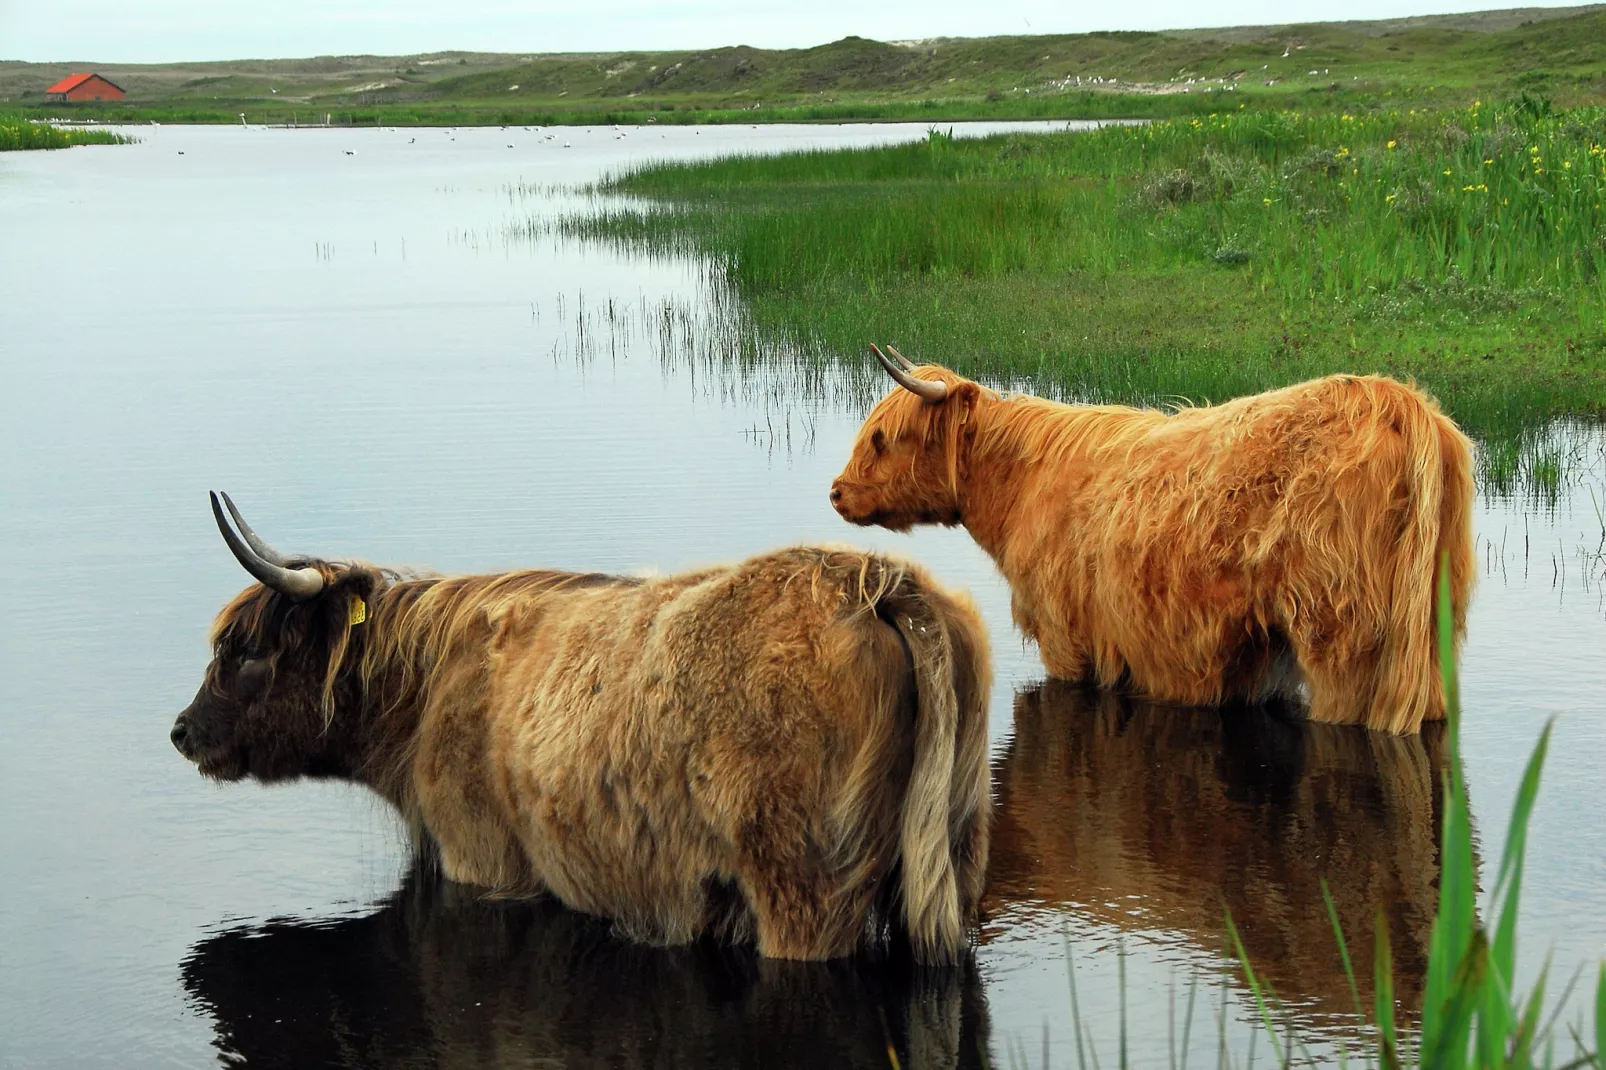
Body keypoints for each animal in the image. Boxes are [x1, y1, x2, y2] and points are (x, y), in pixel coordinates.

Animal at [169, 491, 982, 957]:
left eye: (245, 652)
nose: (180, 732)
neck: (423, 697)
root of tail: (870, 578)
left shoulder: (482, 859)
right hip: (950, 860)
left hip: (802, 890)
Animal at [835, 350, 1471, 732]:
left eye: (884, 438)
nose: (837, 492)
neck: (1019, 485)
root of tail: (1396, 402)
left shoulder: (1066, 636)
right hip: (1431, 631)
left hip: (1340, 634)